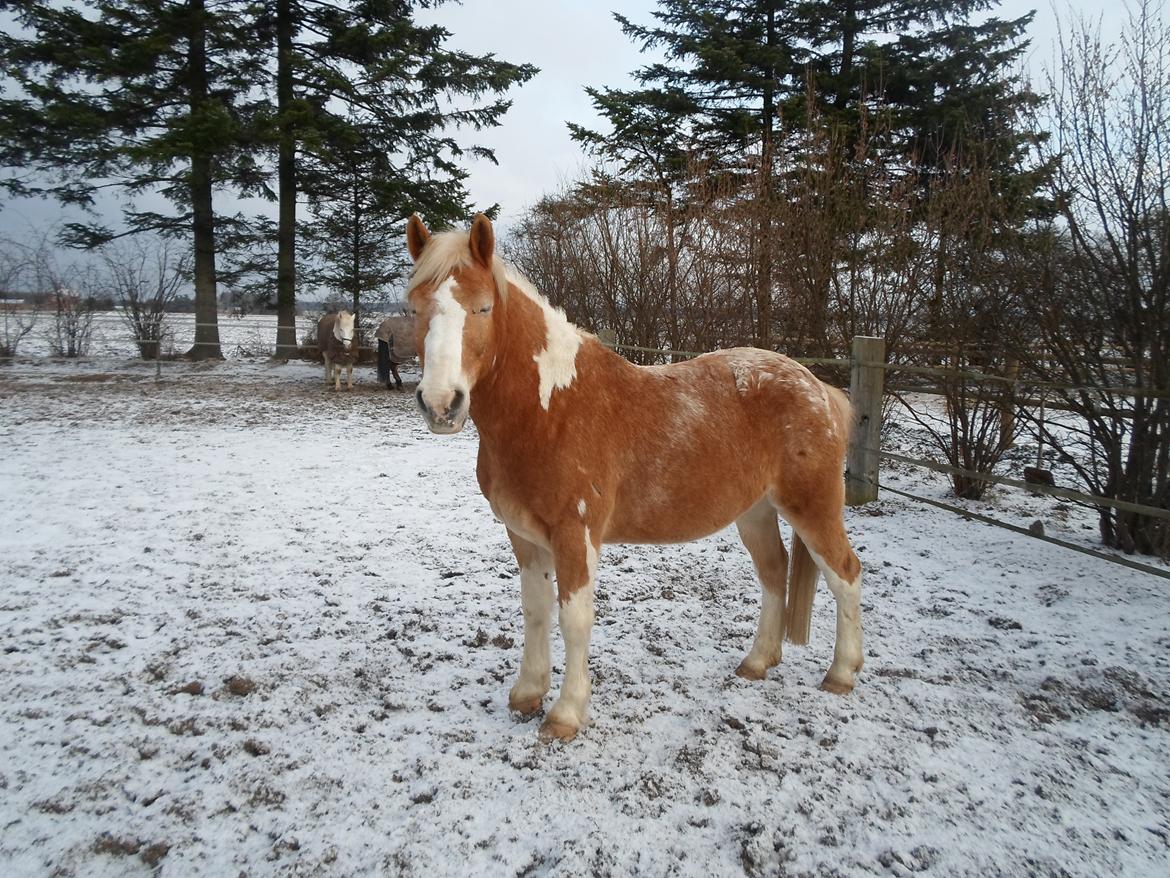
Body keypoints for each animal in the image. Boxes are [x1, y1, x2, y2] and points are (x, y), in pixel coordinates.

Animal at [407, 213, 865, 744]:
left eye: (482, 308)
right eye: (414, 308)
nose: (441, 404)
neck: (551, 409)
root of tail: (818, 387)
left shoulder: (575, 534)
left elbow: (574, 618)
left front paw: (565, 714)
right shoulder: (524, 536)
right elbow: (536, 610)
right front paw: (527, 694)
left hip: (812, 506)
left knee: (845, 574)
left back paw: (841, 674)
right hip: (755, 511)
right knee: (775, 572)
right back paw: (756, 662)